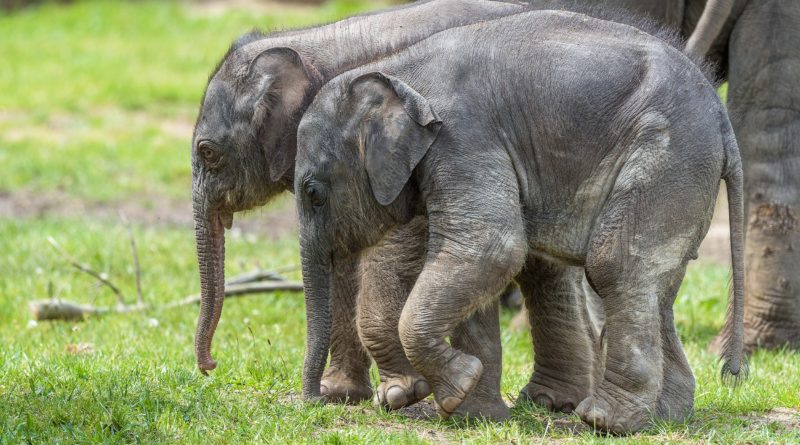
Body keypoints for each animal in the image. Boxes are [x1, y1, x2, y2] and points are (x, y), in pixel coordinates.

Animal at [296, 9, 748, 434]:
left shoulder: (465, 138)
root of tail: (723, 120)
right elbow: (470, 263)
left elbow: (489, 248)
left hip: (668, 156)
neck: (398, 69)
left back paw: (606, 421)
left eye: (313, 192)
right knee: (656, 291)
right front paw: (471, 413)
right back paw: (667, 418)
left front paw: (459, 387)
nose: (316, 402)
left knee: (615, 267)